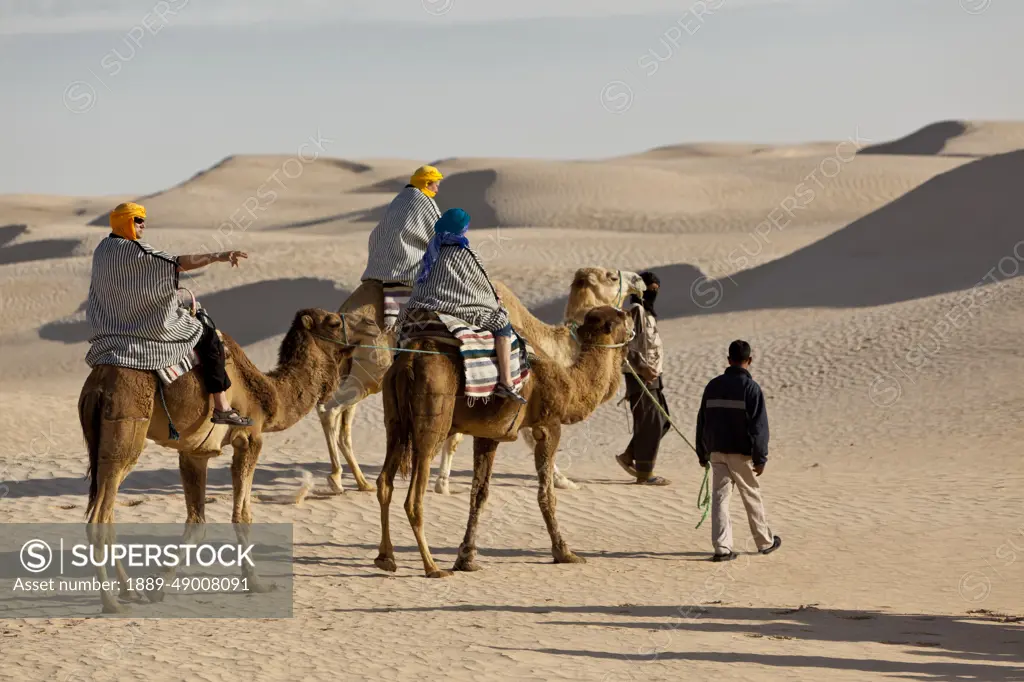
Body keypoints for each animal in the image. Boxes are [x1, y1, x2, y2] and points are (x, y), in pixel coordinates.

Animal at [79, 307, 368, 610]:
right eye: (334, 322)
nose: (370, 324)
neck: (266, 391)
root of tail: (97, 387)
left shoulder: (194, 453)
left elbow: (196, 522)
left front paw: (157, 587)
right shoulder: (250, 439)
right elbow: (243, 516)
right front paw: (256, 583)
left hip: (103, 445)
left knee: (108, 514)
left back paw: (129, 590)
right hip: (125, 433)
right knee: (98, 520)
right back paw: (111, 602)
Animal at [315, 266, 643, 493]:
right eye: (611, 276)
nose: (639, 279)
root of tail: (345, 311)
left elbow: (459, 436)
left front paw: (442, 481)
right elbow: (523, 435)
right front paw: (563, 480)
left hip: (362, 375)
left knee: (344, 423)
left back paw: (361, 481)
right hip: (371, 370)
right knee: (328, 410)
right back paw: (336, 480)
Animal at [374, 303, 630, 573]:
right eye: (624, 317)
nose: (633, 313)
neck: (571, 384)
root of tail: (409, 362)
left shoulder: (488, 435)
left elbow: (479, 494)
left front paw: (466, 558)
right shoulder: (549, 425)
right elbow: (546, 494)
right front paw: (564, 552)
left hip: (394, 420)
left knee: (385, 482)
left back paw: (386, 558)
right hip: (433, 415)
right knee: (414, 494)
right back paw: (432, 567)